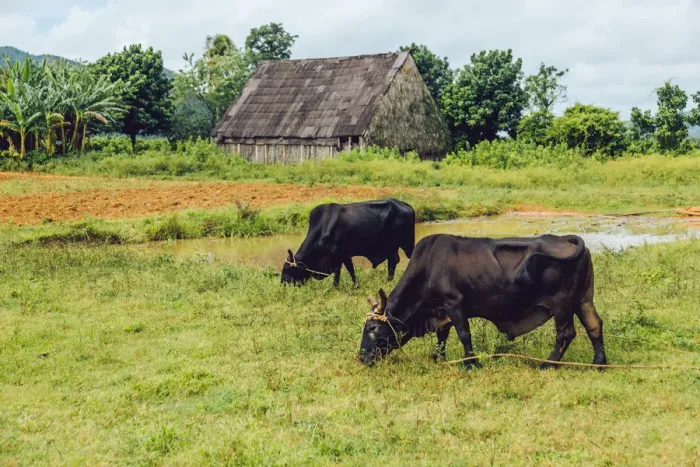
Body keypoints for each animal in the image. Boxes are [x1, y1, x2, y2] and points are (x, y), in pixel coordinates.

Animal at [281, 198, 415, 287]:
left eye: (287, 269)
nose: (282, 284)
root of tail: (406, 205)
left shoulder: (341, 254)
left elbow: (345, 270)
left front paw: (342, 286)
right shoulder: (341, 256)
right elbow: (344, 270)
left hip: (407, 244)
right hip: (391, 247)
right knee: (393, 261)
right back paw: (389, 281)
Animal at [358, 233, 607, 369]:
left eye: (372, 328)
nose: (361, 358)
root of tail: (568, 240)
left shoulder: (455, 305)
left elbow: (463, 335)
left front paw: (471, 363)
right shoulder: (442, 311)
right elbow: (442, 337)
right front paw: (439, 358)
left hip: (562, 305)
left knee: (566, 334)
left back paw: (547, 364)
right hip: (584, 300)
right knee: (594, 325)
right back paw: (599, 363)